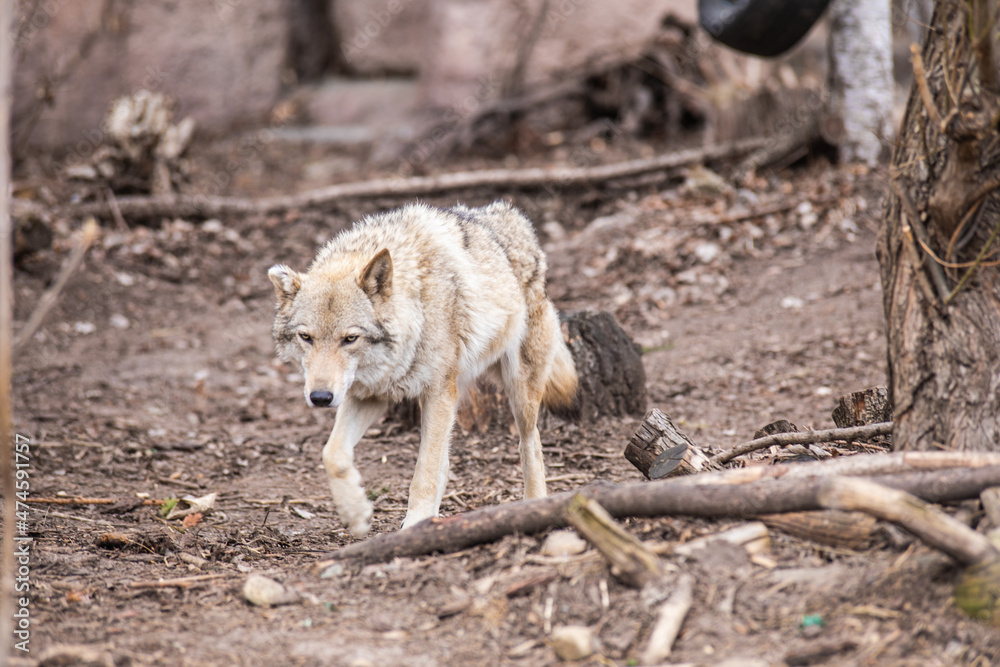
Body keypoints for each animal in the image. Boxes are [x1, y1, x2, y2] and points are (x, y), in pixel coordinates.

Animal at [267, 201, 577, 538]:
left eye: (350, 339)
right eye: (306, 337)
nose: (320, 398)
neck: (417, 308)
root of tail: (512, 216)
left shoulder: (438, 392)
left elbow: (424, 472)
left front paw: (416, 525)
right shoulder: (369, 396)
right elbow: (332, 454)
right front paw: (356, 513)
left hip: (517, 391)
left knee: (530, 444)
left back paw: (534, 505)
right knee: (446, 461)